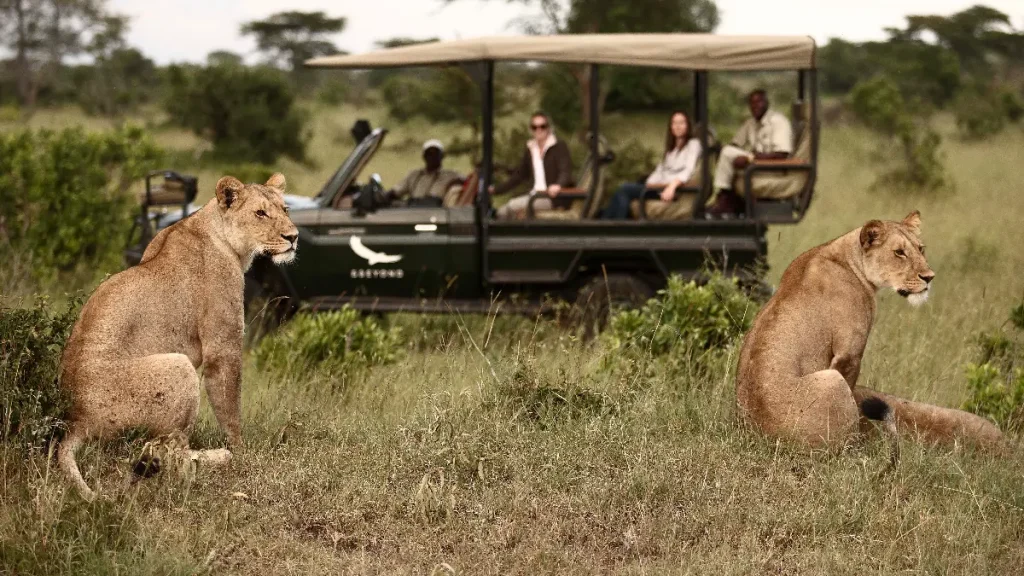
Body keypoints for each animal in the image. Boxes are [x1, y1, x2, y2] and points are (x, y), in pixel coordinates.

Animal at [57, 173, 298, 500]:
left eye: (285, 209)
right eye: (260, 213)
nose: (293, 237)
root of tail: (77, 420)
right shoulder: (223, 346)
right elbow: (230, 405)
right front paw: (242, 451)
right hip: (178, 367)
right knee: (167, 453)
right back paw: (218, 456)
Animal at [735, 210, 1005, 453]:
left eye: (921, 249)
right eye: (899, 252)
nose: (929, 277)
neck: (848, 259)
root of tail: (763, 437)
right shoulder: (849, 353)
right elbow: (854, 395)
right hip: (831, 381)